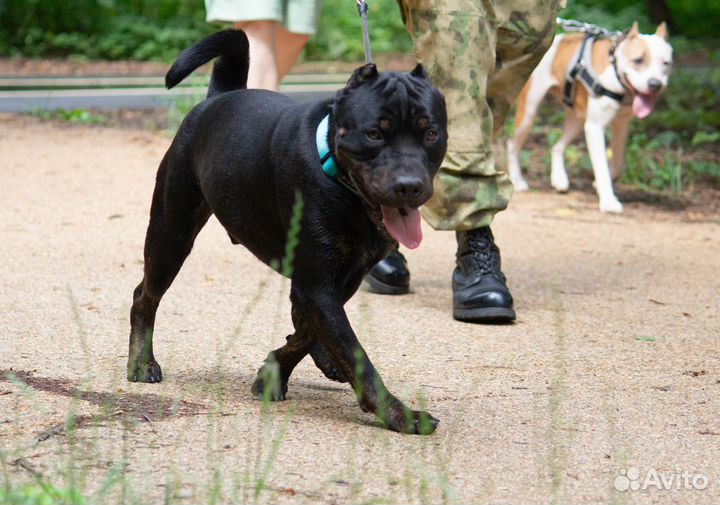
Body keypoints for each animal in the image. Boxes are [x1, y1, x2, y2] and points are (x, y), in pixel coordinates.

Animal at [126, 30, 448, 434]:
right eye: (374, 133)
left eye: (431, 133)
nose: (409, 185)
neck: (342, 183)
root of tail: (220, 96)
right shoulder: (318, 283)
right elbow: (352, 352)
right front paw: (399, 414)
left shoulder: (342, 277)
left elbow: (311, 331)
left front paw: (274, 372)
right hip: (171, 234)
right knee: (145, 296)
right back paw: (141, 362)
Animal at [510, 21, 672, 211]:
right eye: (638, 60)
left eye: (666, 63)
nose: (655, 84)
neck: (615, 70)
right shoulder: (595, 127)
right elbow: (601, 167)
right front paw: (608, 201)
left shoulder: (621, 126)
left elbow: (617, 166)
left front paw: (599, 184)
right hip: (529, 114)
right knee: (512, 144)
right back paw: (517, 180)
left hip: (577, 121)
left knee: (557, 146)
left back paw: (559, 179)